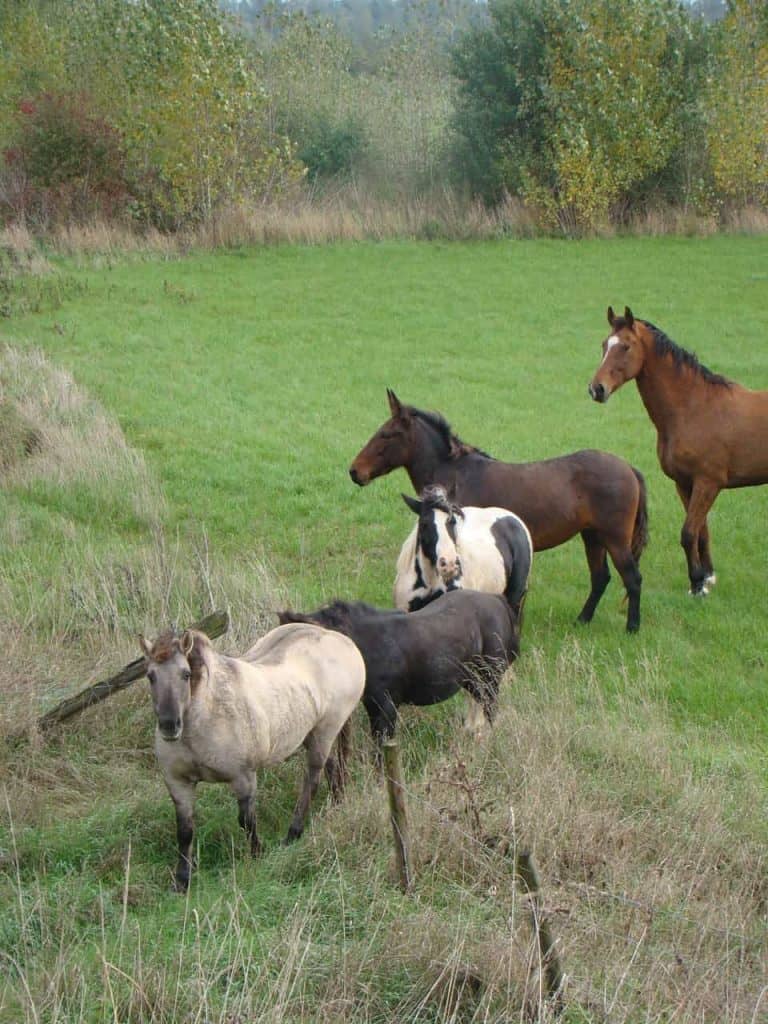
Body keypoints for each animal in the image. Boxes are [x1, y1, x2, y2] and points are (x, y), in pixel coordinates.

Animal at [139, 624, 365, 892]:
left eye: (185, 674)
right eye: (150, 676)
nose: (169, 725)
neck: (203, 717)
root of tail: (342, 640)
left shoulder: (244, 778)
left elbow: (246, 820)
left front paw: (258, 853)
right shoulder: (178, 784)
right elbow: (185, 831)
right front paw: (182, 881)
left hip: (325, 733)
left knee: (312, 780)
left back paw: (292, 834)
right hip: (314, 735)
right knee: (331, 769)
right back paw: (337, 803)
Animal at [278, 589, 521, 748]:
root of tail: (498, 600)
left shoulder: (387, 705)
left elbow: (382, 745)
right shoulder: (372, 703)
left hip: (490, 675)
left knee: (490, 707)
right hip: (471, 680)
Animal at [393, 484, 533, 617]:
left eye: (453, 521)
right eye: (424, 524)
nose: (449, 564)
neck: (429, 583)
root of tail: (512, 517)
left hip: (514, 600)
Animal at [589, 305, 768, 596]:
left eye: (625, 346)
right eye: (605, 345)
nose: (596, 389)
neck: (695, 408)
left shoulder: (708, 483)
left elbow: (688, 533)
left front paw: (697, 585)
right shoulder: (685, 483)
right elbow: (701, 532)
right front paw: (706, 577)